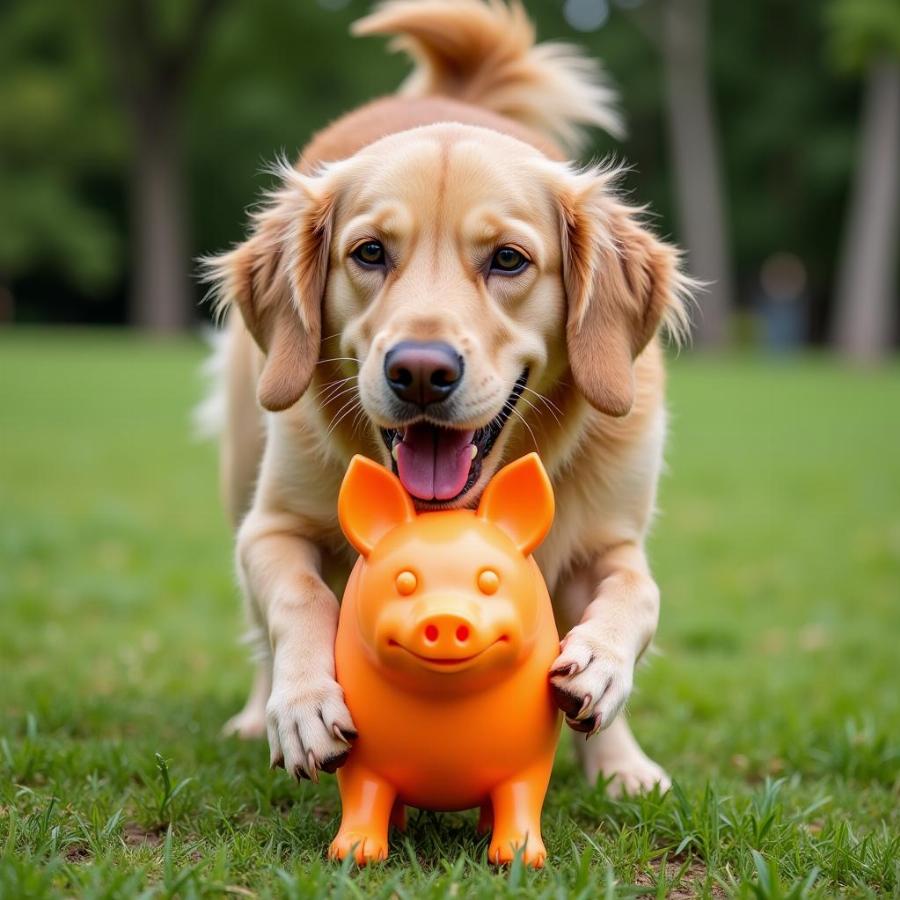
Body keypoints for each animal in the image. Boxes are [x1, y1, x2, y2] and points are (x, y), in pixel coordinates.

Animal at [206, 0, 688, 796]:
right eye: (370, 252)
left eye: (509, 260)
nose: (421, 372)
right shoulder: (271, 525)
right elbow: (297, 596)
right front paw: (302, 704)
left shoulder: (613, 537)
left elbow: (639, 596)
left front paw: (606, 692)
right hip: (245, 459)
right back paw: (256, 712)